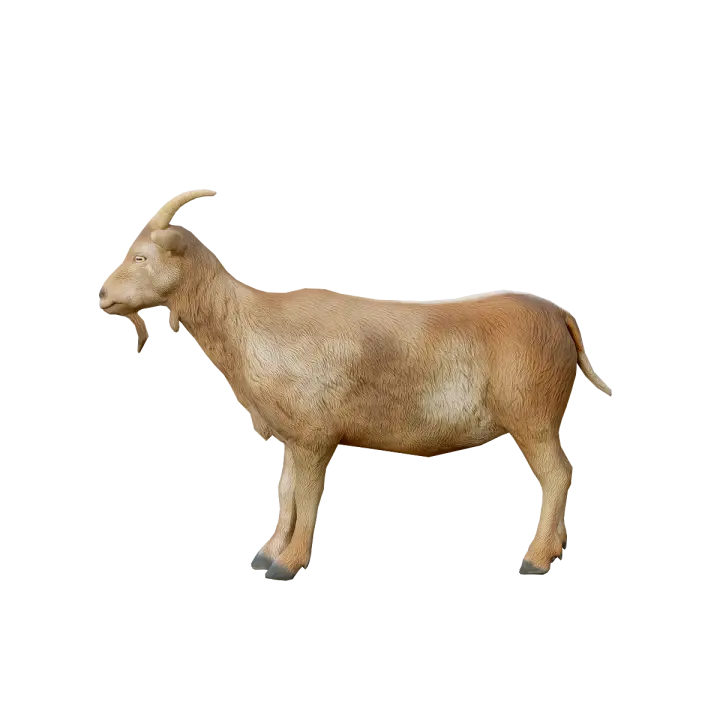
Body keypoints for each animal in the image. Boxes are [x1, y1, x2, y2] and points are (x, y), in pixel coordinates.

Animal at [97, 190, 613, 581]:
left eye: (142, 255)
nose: (101, 294)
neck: (254, 327)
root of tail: (563, 317)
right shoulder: (291, 436)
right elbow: (284, 493)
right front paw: (267, 553)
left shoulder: (313, 434)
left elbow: (306, 495)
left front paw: (289, 563)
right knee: (559, 474)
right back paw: (556, 548)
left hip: (530, 412)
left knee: (555, 474)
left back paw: (536, 559)